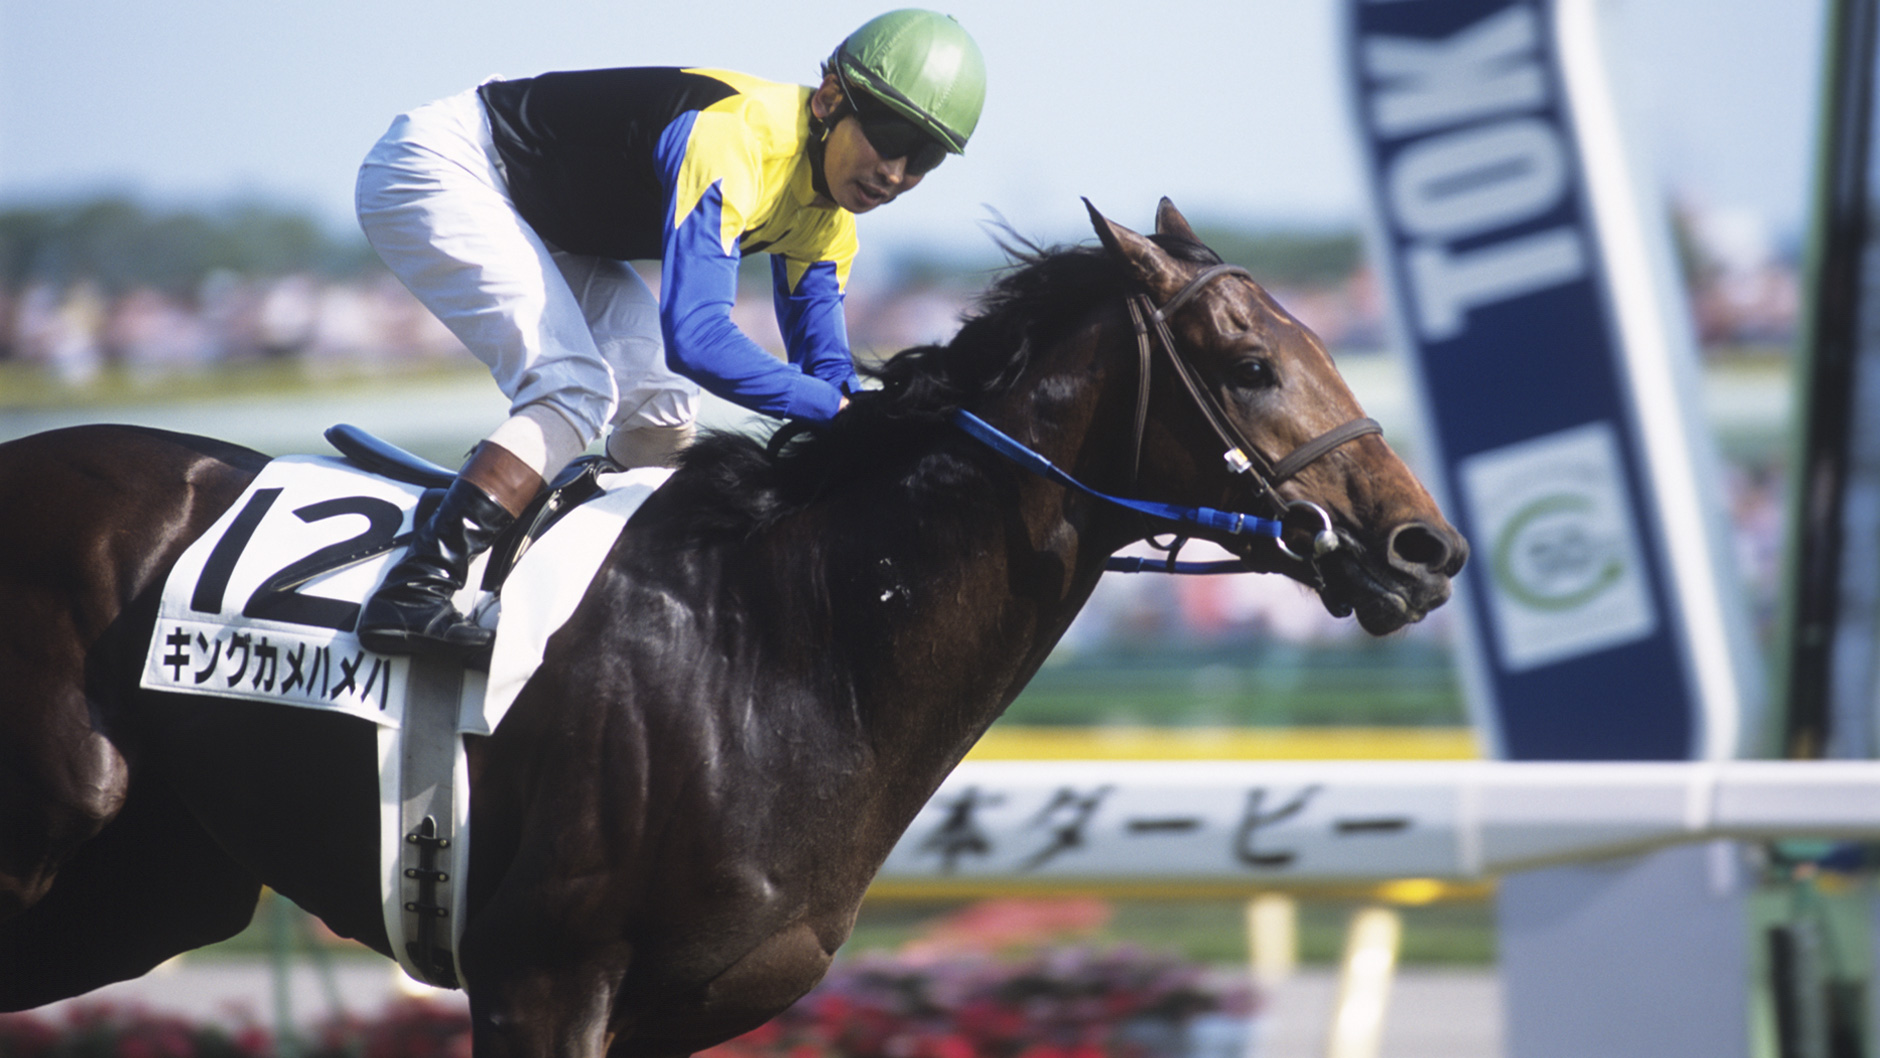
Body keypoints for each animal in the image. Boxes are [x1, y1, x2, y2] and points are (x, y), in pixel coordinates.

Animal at [0, 200, 1464, 1057]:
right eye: (1252, 364)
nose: (1425, 546)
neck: (774, 648)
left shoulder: (674, 1010)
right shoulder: (539, 977)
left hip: (150, 887)